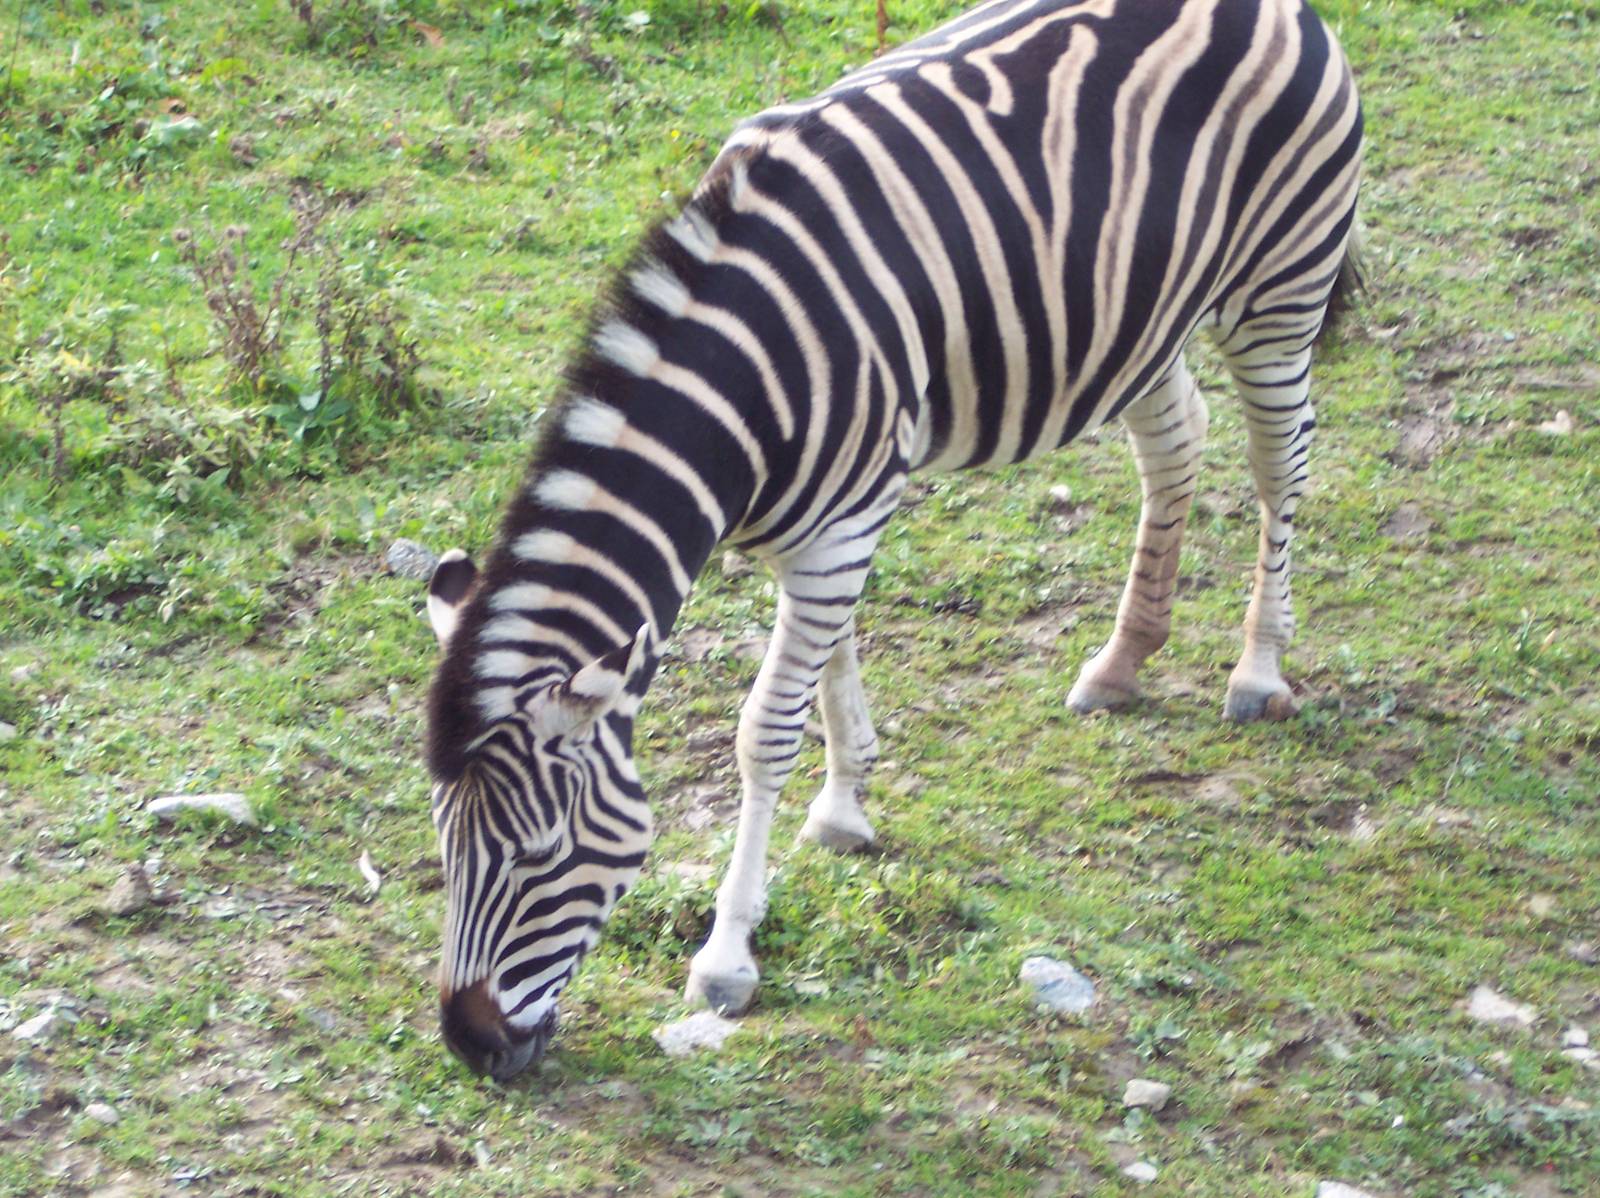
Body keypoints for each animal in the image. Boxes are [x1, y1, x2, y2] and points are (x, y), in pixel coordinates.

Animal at [424, 0, 1363, 1079]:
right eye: (442, 847)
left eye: (538, 857)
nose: (469, 1045)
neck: (745, 379)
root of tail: (1277, 9)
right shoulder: (820, 521)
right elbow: (831, 665)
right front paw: (842, 810)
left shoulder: (841, 525)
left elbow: (764, 731)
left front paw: (727, 956)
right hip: (1142, 316)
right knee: (1178, 441)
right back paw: (1123, 659)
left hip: (1281, 287)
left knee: (1279, 460)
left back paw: (1258, 666)